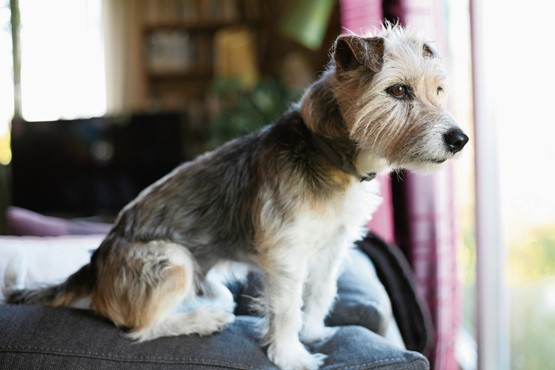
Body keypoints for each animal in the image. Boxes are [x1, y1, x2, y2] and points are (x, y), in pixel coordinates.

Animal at [5, 26, 470, 370]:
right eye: (398, 91)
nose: (459, 139)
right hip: (171, 260)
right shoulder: (286, 255)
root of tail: (93, 266)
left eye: (439, 90)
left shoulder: (334, 245)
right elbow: (286, 307)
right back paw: (201, 319)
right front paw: (292, 355)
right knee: (137, 328)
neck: (331, 154)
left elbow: (321, 293)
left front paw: (313, 332)